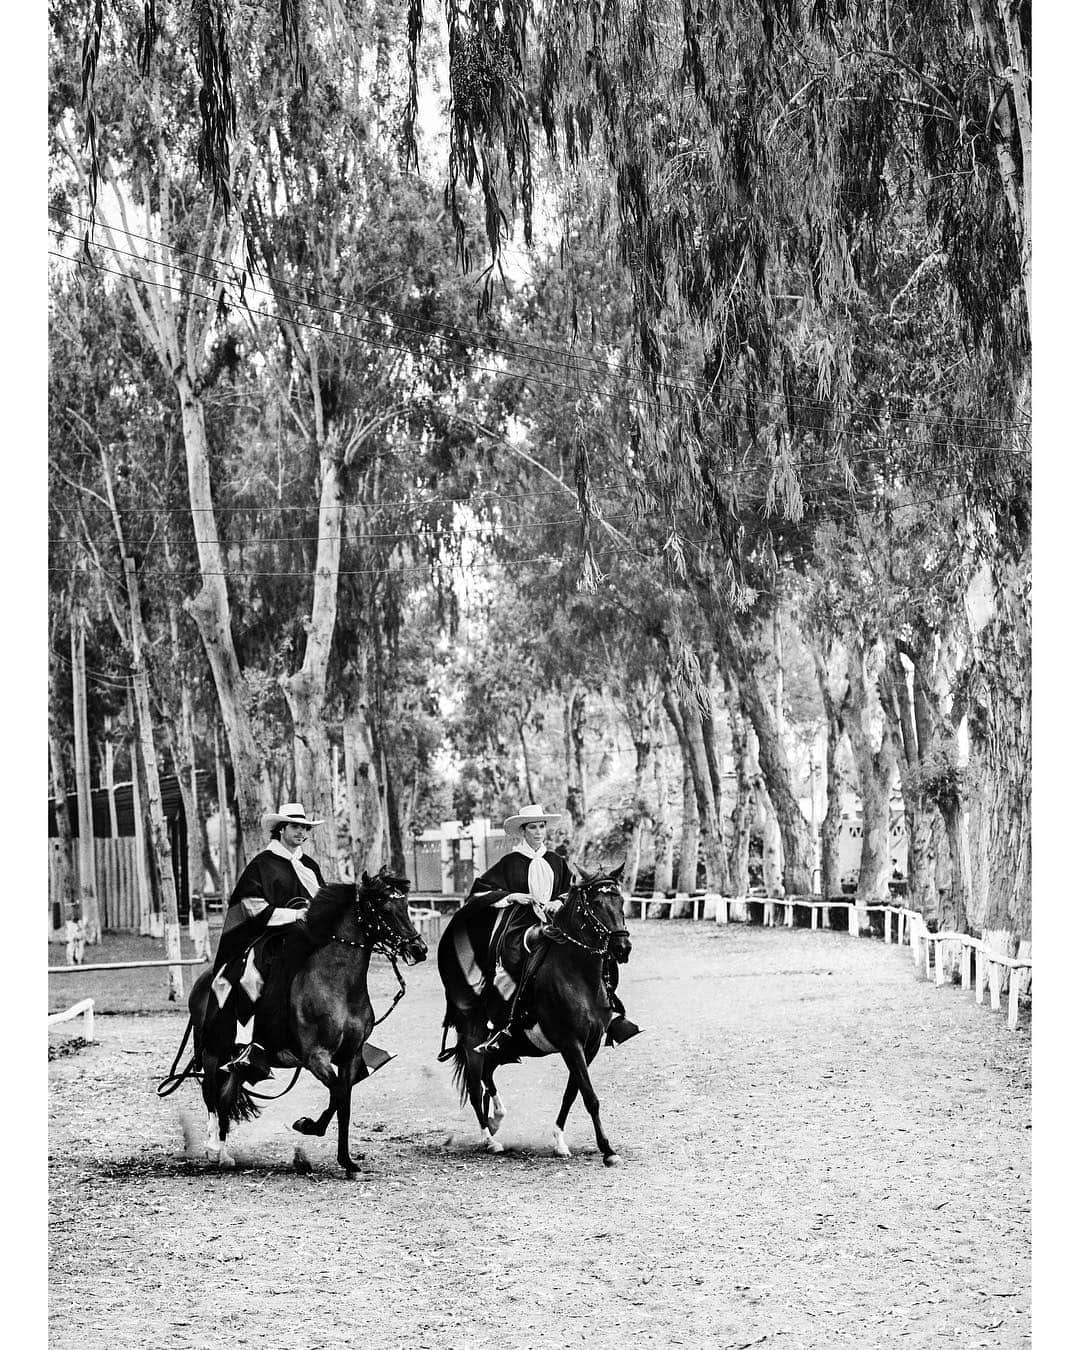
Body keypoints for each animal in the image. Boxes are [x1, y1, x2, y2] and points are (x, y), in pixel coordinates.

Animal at [180, 869, 426, 1177]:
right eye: (383, 908)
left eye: (405, 905)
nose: (419, 949)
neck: (337, 986)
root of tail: (204, 981)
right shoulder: (315, 1056)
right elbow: (339, 1094)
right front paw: (310, 1127)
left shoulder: (350, 1055)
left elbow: (343, 1100)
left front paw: (346, 1161)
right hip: (214, 1052)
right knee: (211, 1094)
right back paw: (213, 1149)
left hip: (237, 1062)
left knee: (225, 1097)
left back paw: (225, 1155)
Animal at [437, 869, 637, 1166]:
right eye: (596, 904)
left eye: (620, 901)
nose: (622, 947)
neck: (578, 977)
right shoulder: (570, 1044)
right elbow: (589, 1096)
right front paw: (608, 1150)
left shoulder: (588, 1047)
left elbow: (572, 1093)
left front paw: (559, 1141)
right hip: (473, 1041)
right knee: (474, 1087)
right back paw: (490, 1140)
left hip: (499, 1048)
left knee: (487, 1076)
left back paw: (496, 1119)